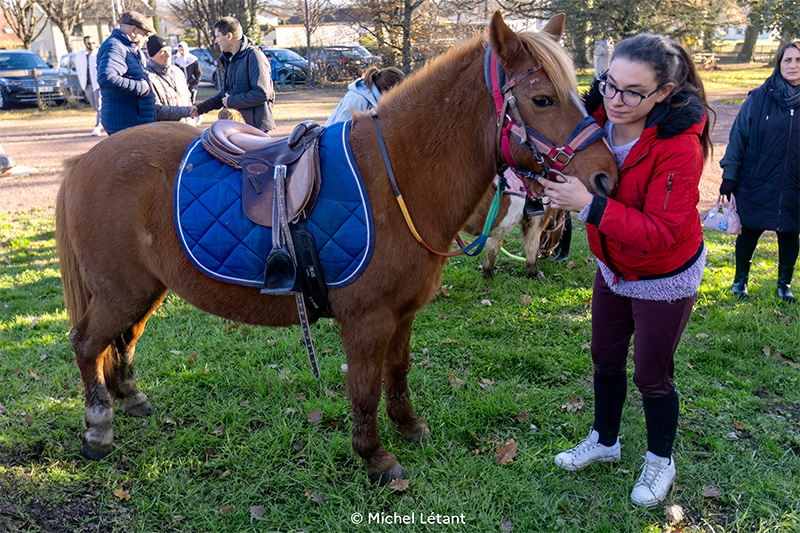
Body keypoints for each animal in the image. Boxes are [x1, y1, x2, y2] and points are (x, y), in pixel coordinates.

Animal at [57, 14, 620, 484]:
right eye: (543, 99)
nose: (606, 176)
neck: (395, 179)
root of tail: (86, 161)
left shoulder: (402, 313)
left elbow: (398, 371)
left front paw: (408, 425)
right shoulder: (367, 320)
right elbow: (365, 387)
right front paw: (374, 456)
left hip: (144, 290)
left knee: (121, 342)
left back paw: (131, 398)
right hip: (120, 291)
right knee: (87, 344)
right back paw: (98, 426)